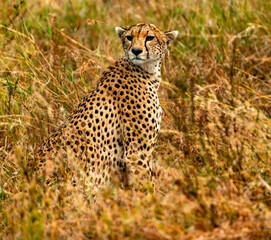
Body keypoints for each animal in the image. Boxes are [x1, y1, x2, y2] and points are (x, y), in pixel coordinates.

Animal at [35, 23, 180, 188]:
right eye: (129, 37)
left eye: (150, 37)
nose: (136, 51)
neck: (146, 70)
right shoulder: (136, 153)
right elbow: (146, 184)